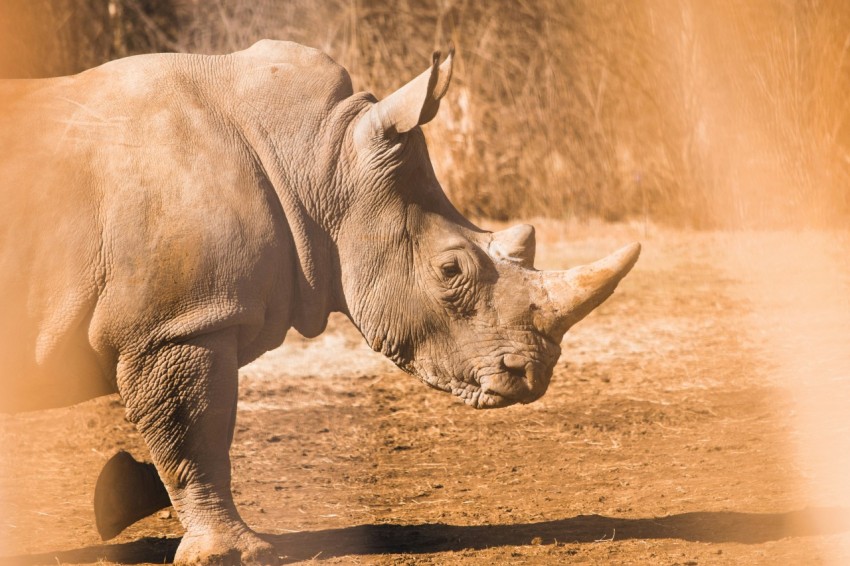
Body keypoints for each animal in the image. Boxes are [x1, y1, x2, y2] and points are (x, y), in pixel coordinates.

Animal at [0, 40, 639, 564]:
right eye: (450, 269)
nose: (532, 377)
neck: (319, 158)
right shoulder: (180, 322)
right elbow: (195, 434)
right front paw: (233, 553)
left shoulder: (179, 319)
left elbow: (193, 434)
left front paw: (122, 498)